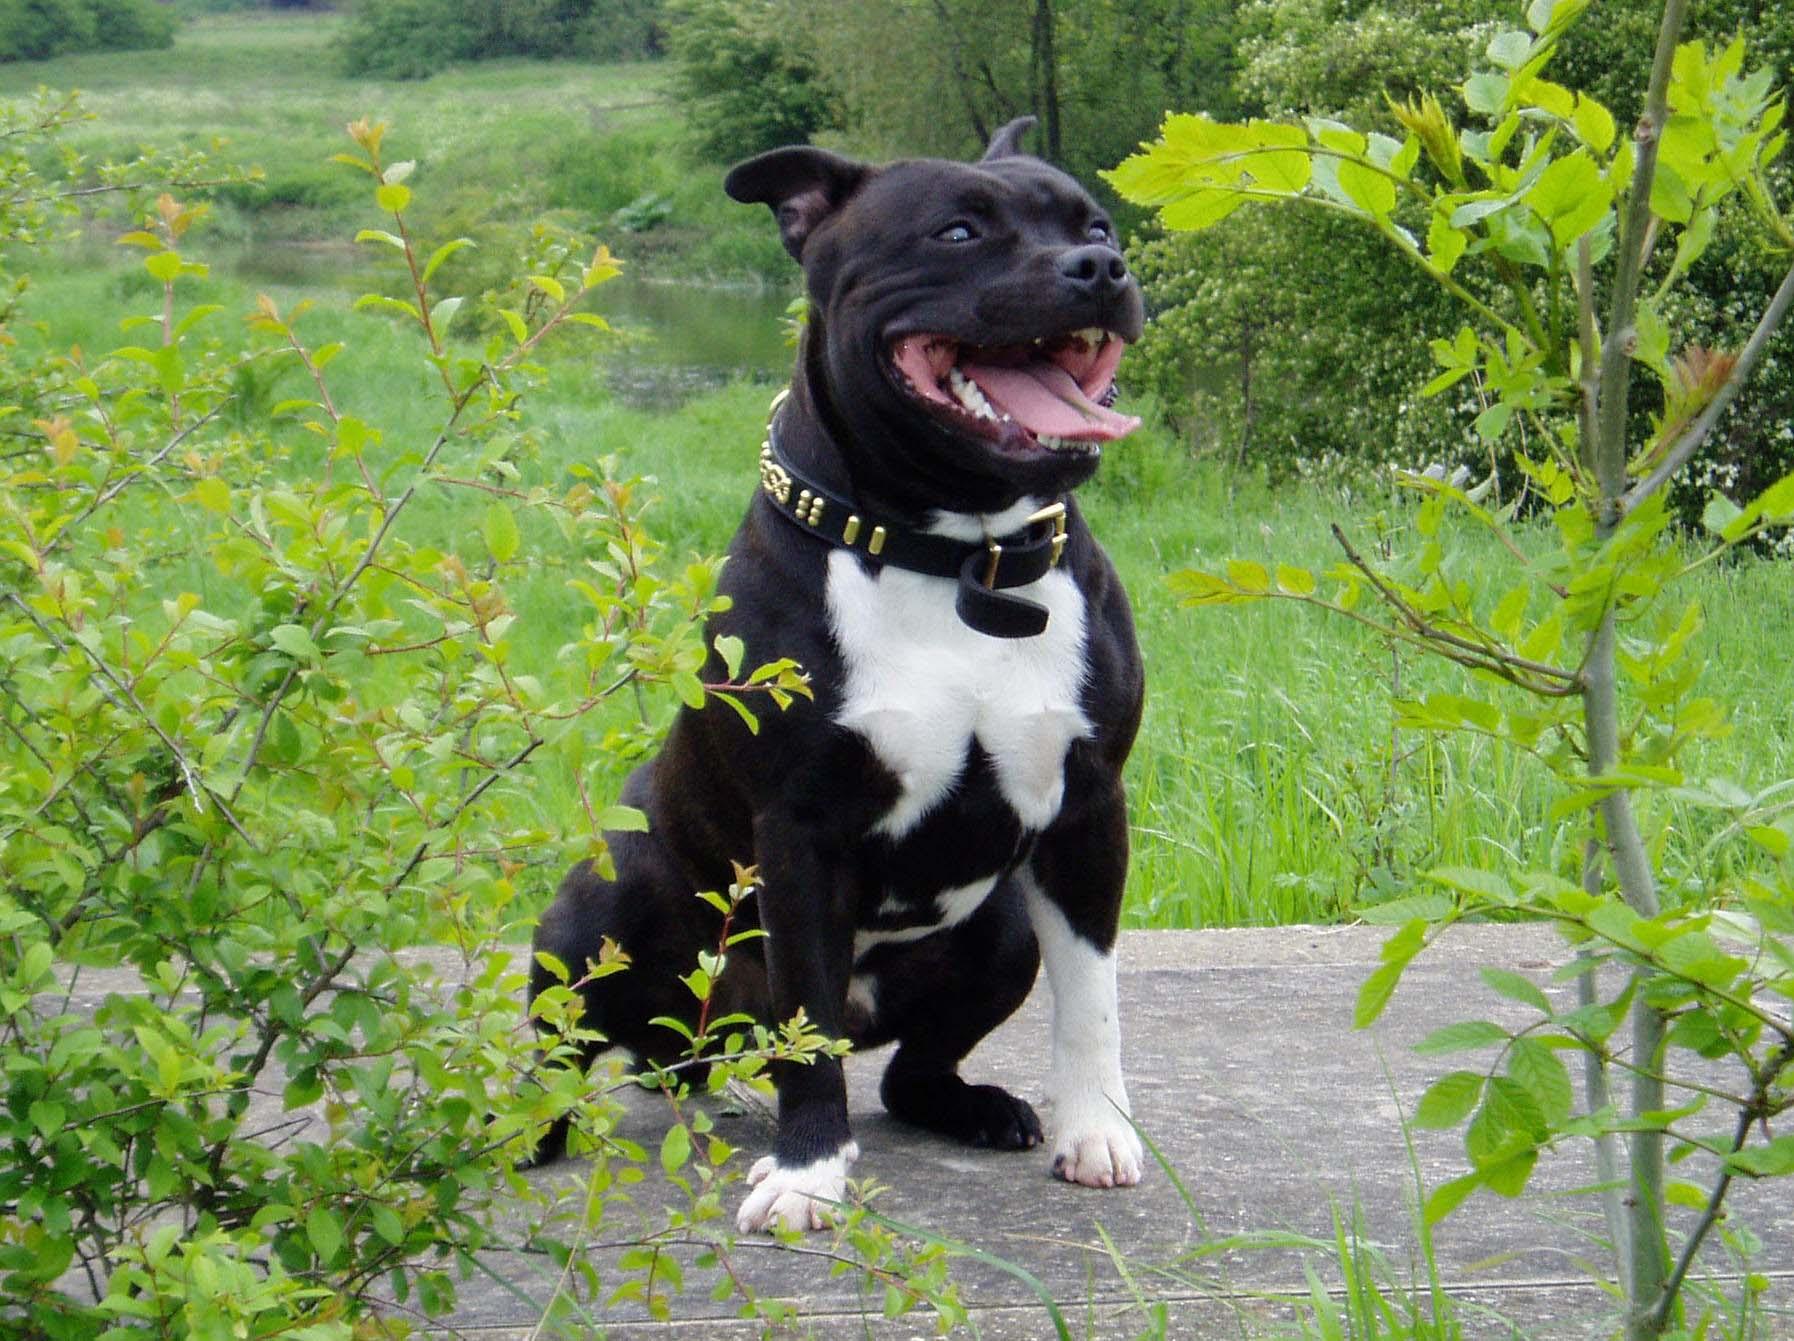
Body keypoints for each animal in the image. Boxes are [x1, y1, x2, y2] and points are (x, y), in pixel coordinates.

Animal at [531, 120, 1148, 1235]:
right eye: (957, 232)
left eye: (1097, 226)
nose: (1099, 271)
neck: (954, 554)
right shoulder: (803, 830)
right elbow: (806, 1026)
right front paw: (810, 1171)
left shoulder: (1088, 812)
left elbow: (1093, 1002)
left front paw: (1096, 1132)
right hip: (594, 913)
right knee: (568, 1045)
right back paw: (528, 1127)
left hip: (1001, 931)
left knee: (908, 1071)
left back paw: (973, 1107)